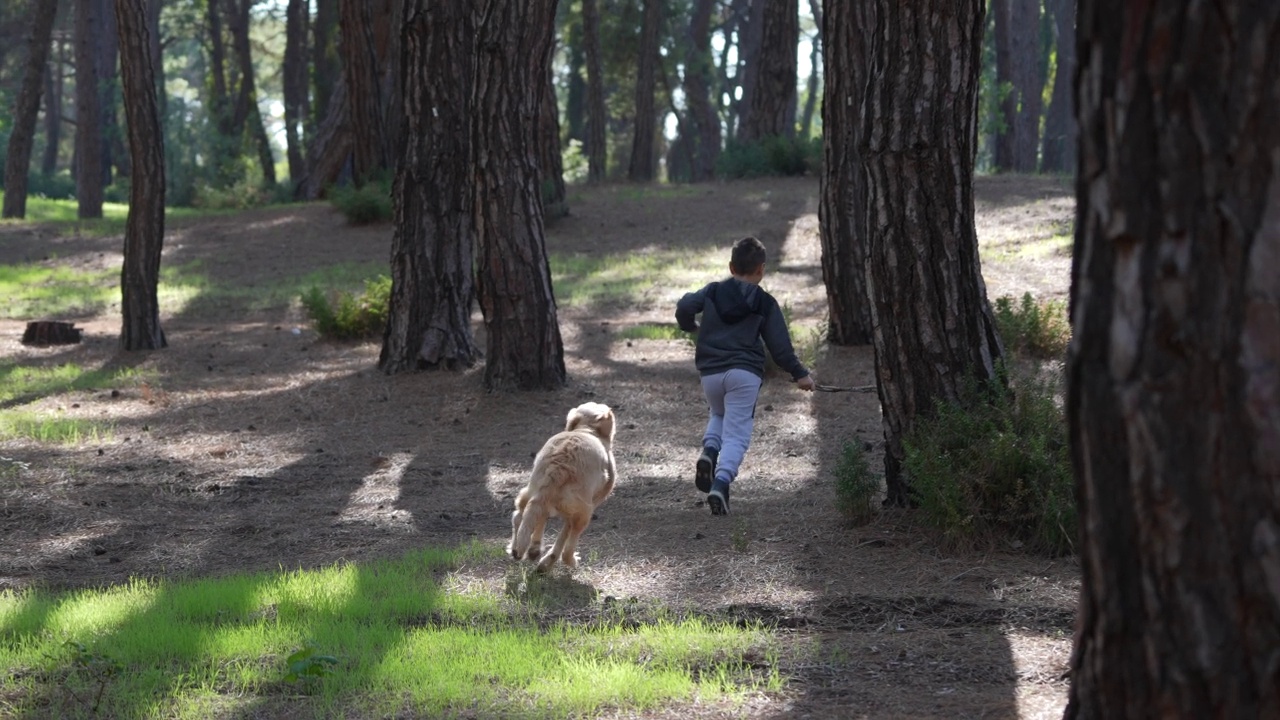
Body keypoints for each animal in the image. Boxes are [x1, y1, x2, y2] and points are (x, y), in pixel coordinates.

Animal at [504, 399, 614, 568]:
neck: (587, 430)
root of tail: (558, 468)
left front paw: (536, 551)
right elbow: (562, 541)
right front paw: (547, 560)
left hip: (530, 492)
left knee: (519, 516)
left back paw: (521, 549)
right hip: (583, 514)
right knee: (567, 550)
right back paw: (570, 561)